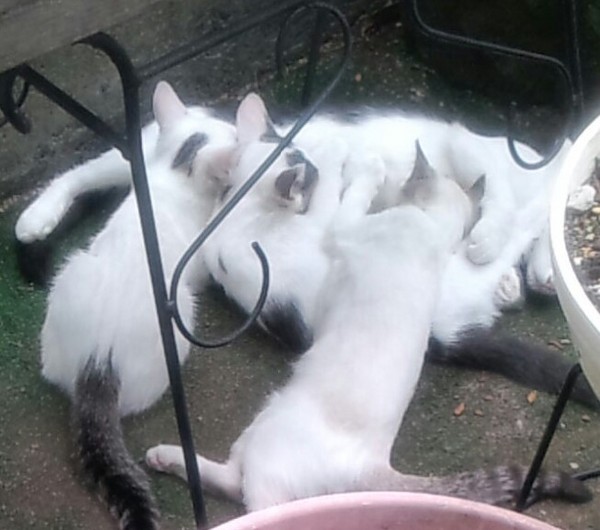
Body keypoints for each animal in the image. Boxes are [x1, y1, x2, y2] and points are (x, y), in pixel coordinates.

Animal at [145, 144, 591, 511]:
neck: (432, 230)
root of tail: (372, 465)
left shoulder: (341, 228)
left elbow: (342, 200)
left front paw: (361, 168)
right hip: (261, 424)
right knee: (231, 480)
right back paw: (163, 456)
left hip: (269, 447)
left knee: (255, 502)